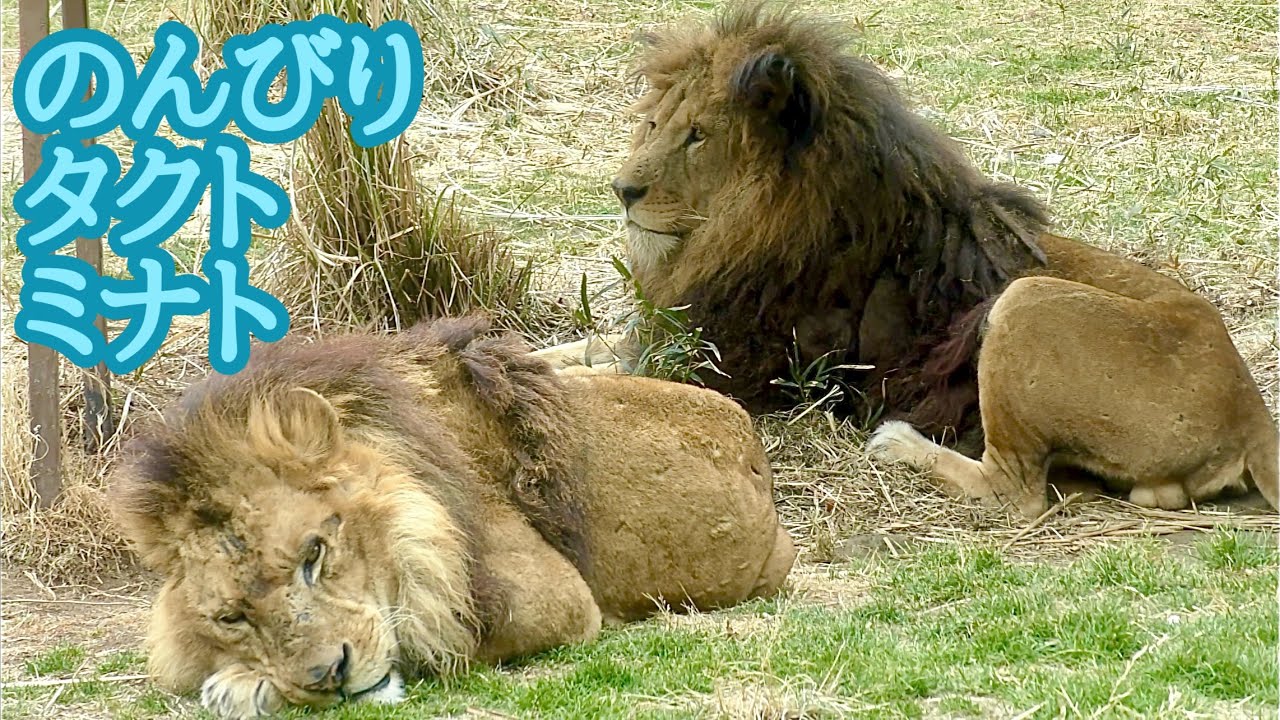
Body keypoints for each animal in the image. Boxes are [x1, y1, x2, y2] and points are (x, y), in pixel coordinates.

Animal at [109, 316, 795, 719]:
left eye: (314, 553)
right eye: (231, 617)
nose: (331, 675)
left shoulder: (552, 600)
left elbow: (422, 633)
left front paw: (239, 687)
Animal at [540, 2, 1278, 515]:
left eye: (698, 135)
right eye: (655, 124)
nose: (623, 189)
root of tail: (1253, 412)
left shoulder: (728, 371)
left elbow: (590, 381)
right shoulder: (669, 335)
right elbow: (570, 352)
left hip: (1025, 304)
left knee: (1017, 492)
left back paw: (899, 443)